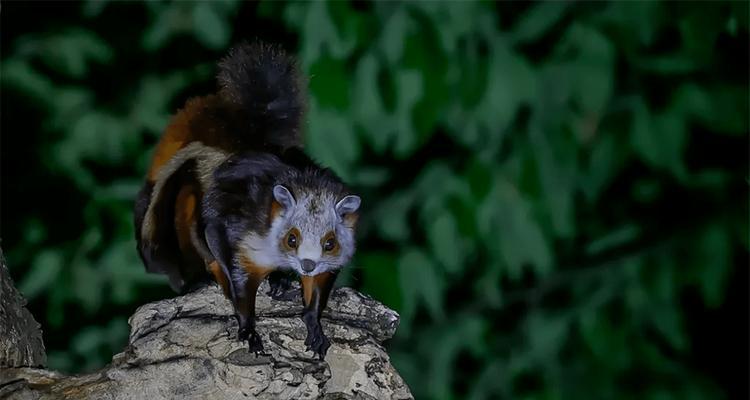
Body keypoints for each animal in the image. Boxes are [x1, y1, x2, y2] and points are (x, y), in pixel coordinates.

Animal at [136, 42, 364, 358]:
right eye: (291, 238)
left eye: (330, 243)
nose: (306, 264)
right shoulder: (237, 236)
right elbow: (239, 283)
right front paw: (248, 329)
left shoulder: (328, 262)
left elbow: (317, 292)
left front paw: (314, 325)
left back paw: (280, 281)